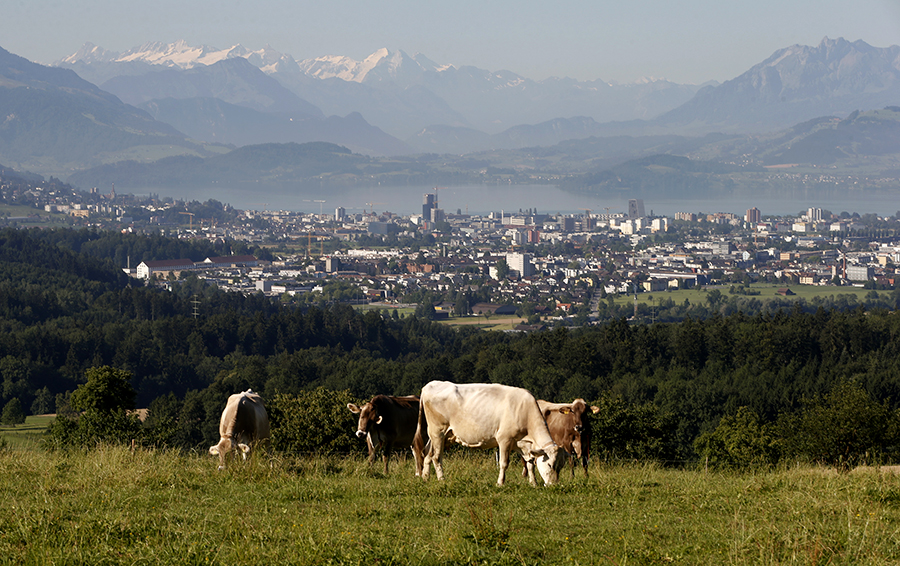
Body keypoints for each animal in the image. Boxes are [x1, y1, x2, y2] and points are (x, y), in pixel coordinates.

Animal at [416, 382, 564, 488]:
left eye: (560, 466)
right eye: (550, 465)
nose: (553, 485)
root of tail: (430, 385)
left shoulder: (522, 444)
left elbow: (530, 463)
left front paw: (533, 483)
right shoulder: (504, 439)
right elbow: (504, 463)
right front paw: (500, 483)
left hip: (440, 436)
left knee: (428, 453)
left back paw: (425, 478)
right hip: (438, 431)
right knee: (436, 457)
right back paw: (442, 479)